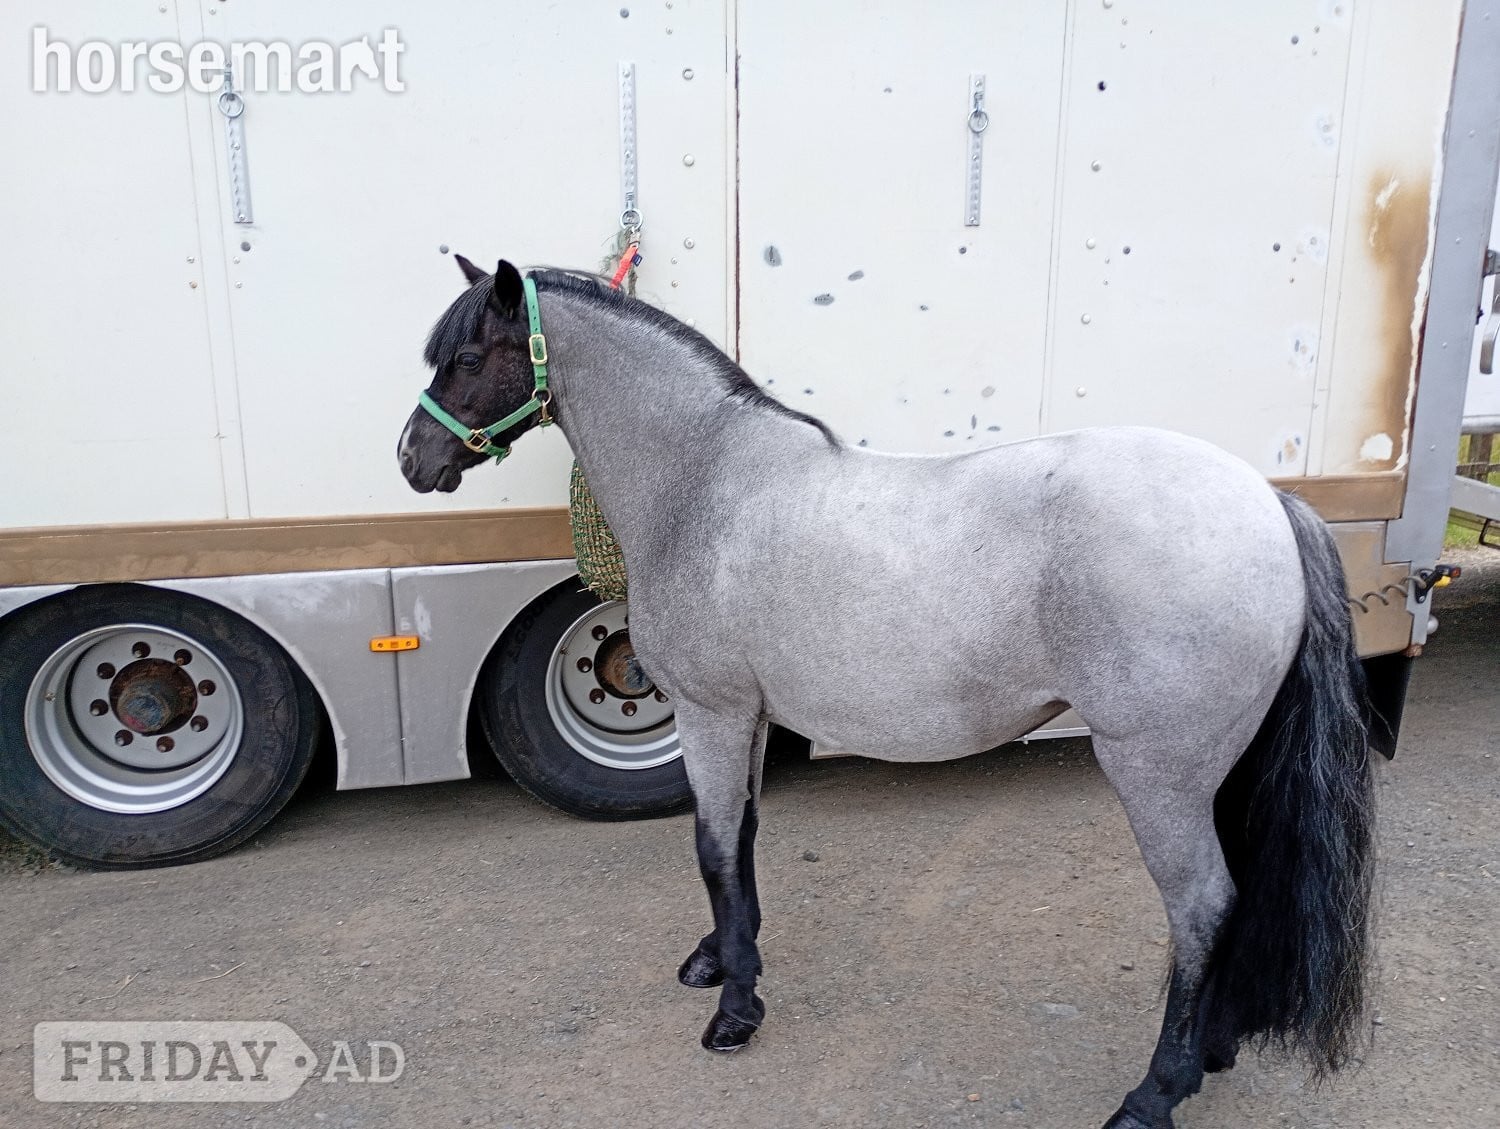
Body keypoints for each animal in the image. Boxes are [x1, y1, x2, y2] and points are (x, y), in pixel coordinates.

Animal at [397, 256, 1375, 1129]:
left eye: (470, 358)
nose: (411, 457)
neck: (709, 485)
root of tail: (1267, 502)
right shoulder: (752, 719)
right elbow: (741, 840)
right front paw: (723, 960)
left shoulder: (714, 715)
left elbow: (711, 848)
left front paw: (734, 1012)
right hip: (1221, 770)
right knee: (1235, 896)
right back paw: (1215, 1048)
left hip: (1158, 774)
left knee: (1202, 904)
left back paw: (1154, 1093)